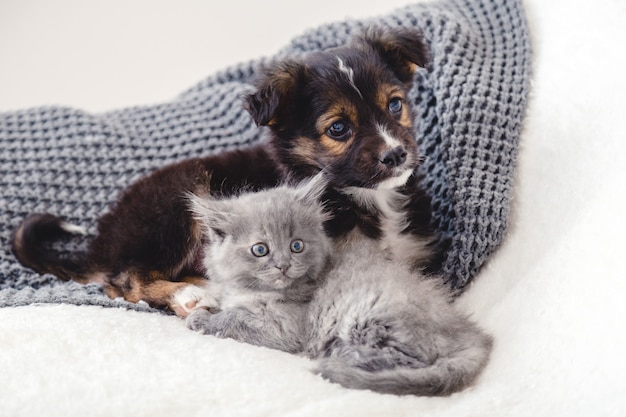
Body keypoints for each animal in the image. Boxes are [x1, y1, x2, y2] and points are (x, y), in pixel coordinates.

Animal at [13, 26, 434, 316]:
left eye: (395, 105)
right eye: (339, 129)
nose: (396, 155)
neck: (372, 199)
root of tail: (105, 238)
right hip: (178, 200)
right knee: (126, 281)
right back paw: (189, 296)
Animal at [186, 176, 492, 396]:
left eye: (297, 246)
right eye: (260, 249)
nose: (283, 265)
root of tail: (473, 335)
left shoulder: (284, 329)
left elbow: (234, 320)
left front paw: (201, 319)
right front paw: (202, 302)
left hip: (369, 315)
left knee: (409, 360)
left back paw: (339, 357)